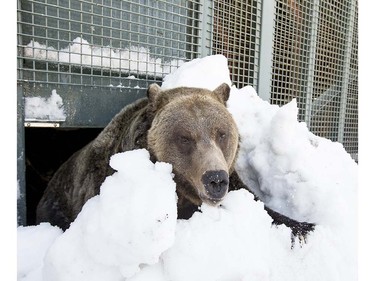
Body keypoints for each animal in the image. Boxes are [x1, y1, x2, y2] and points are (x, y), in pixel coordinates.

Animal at [37, 82, 314, 240]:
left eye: (221, 133)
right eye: (185, 137)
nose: (215, 179)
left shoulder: (233, 179)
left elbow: (261, 205)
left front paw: (304, 227)